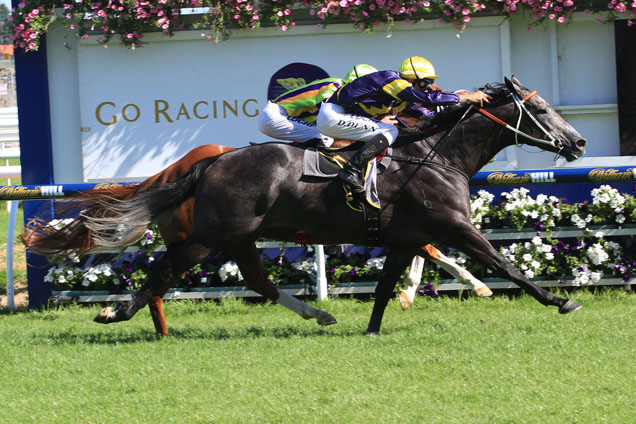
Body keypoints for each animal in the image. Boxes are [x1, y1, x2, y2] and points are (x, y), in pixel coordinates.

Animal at [21, 76, 588, 334]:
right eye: (540, 108)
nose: (579, 143)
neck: (432, 153)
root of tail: (208, 163)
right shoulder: (453, 226)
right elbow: (504, 265)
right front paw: (560, 300)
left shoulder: (404, 238)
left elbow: (386, 287)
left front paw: (373, 327)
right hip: (209, 237)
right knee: (162, 274)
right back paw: (117, 313)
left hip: (238, 237)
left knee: (256, 280)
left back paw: (319, 313)